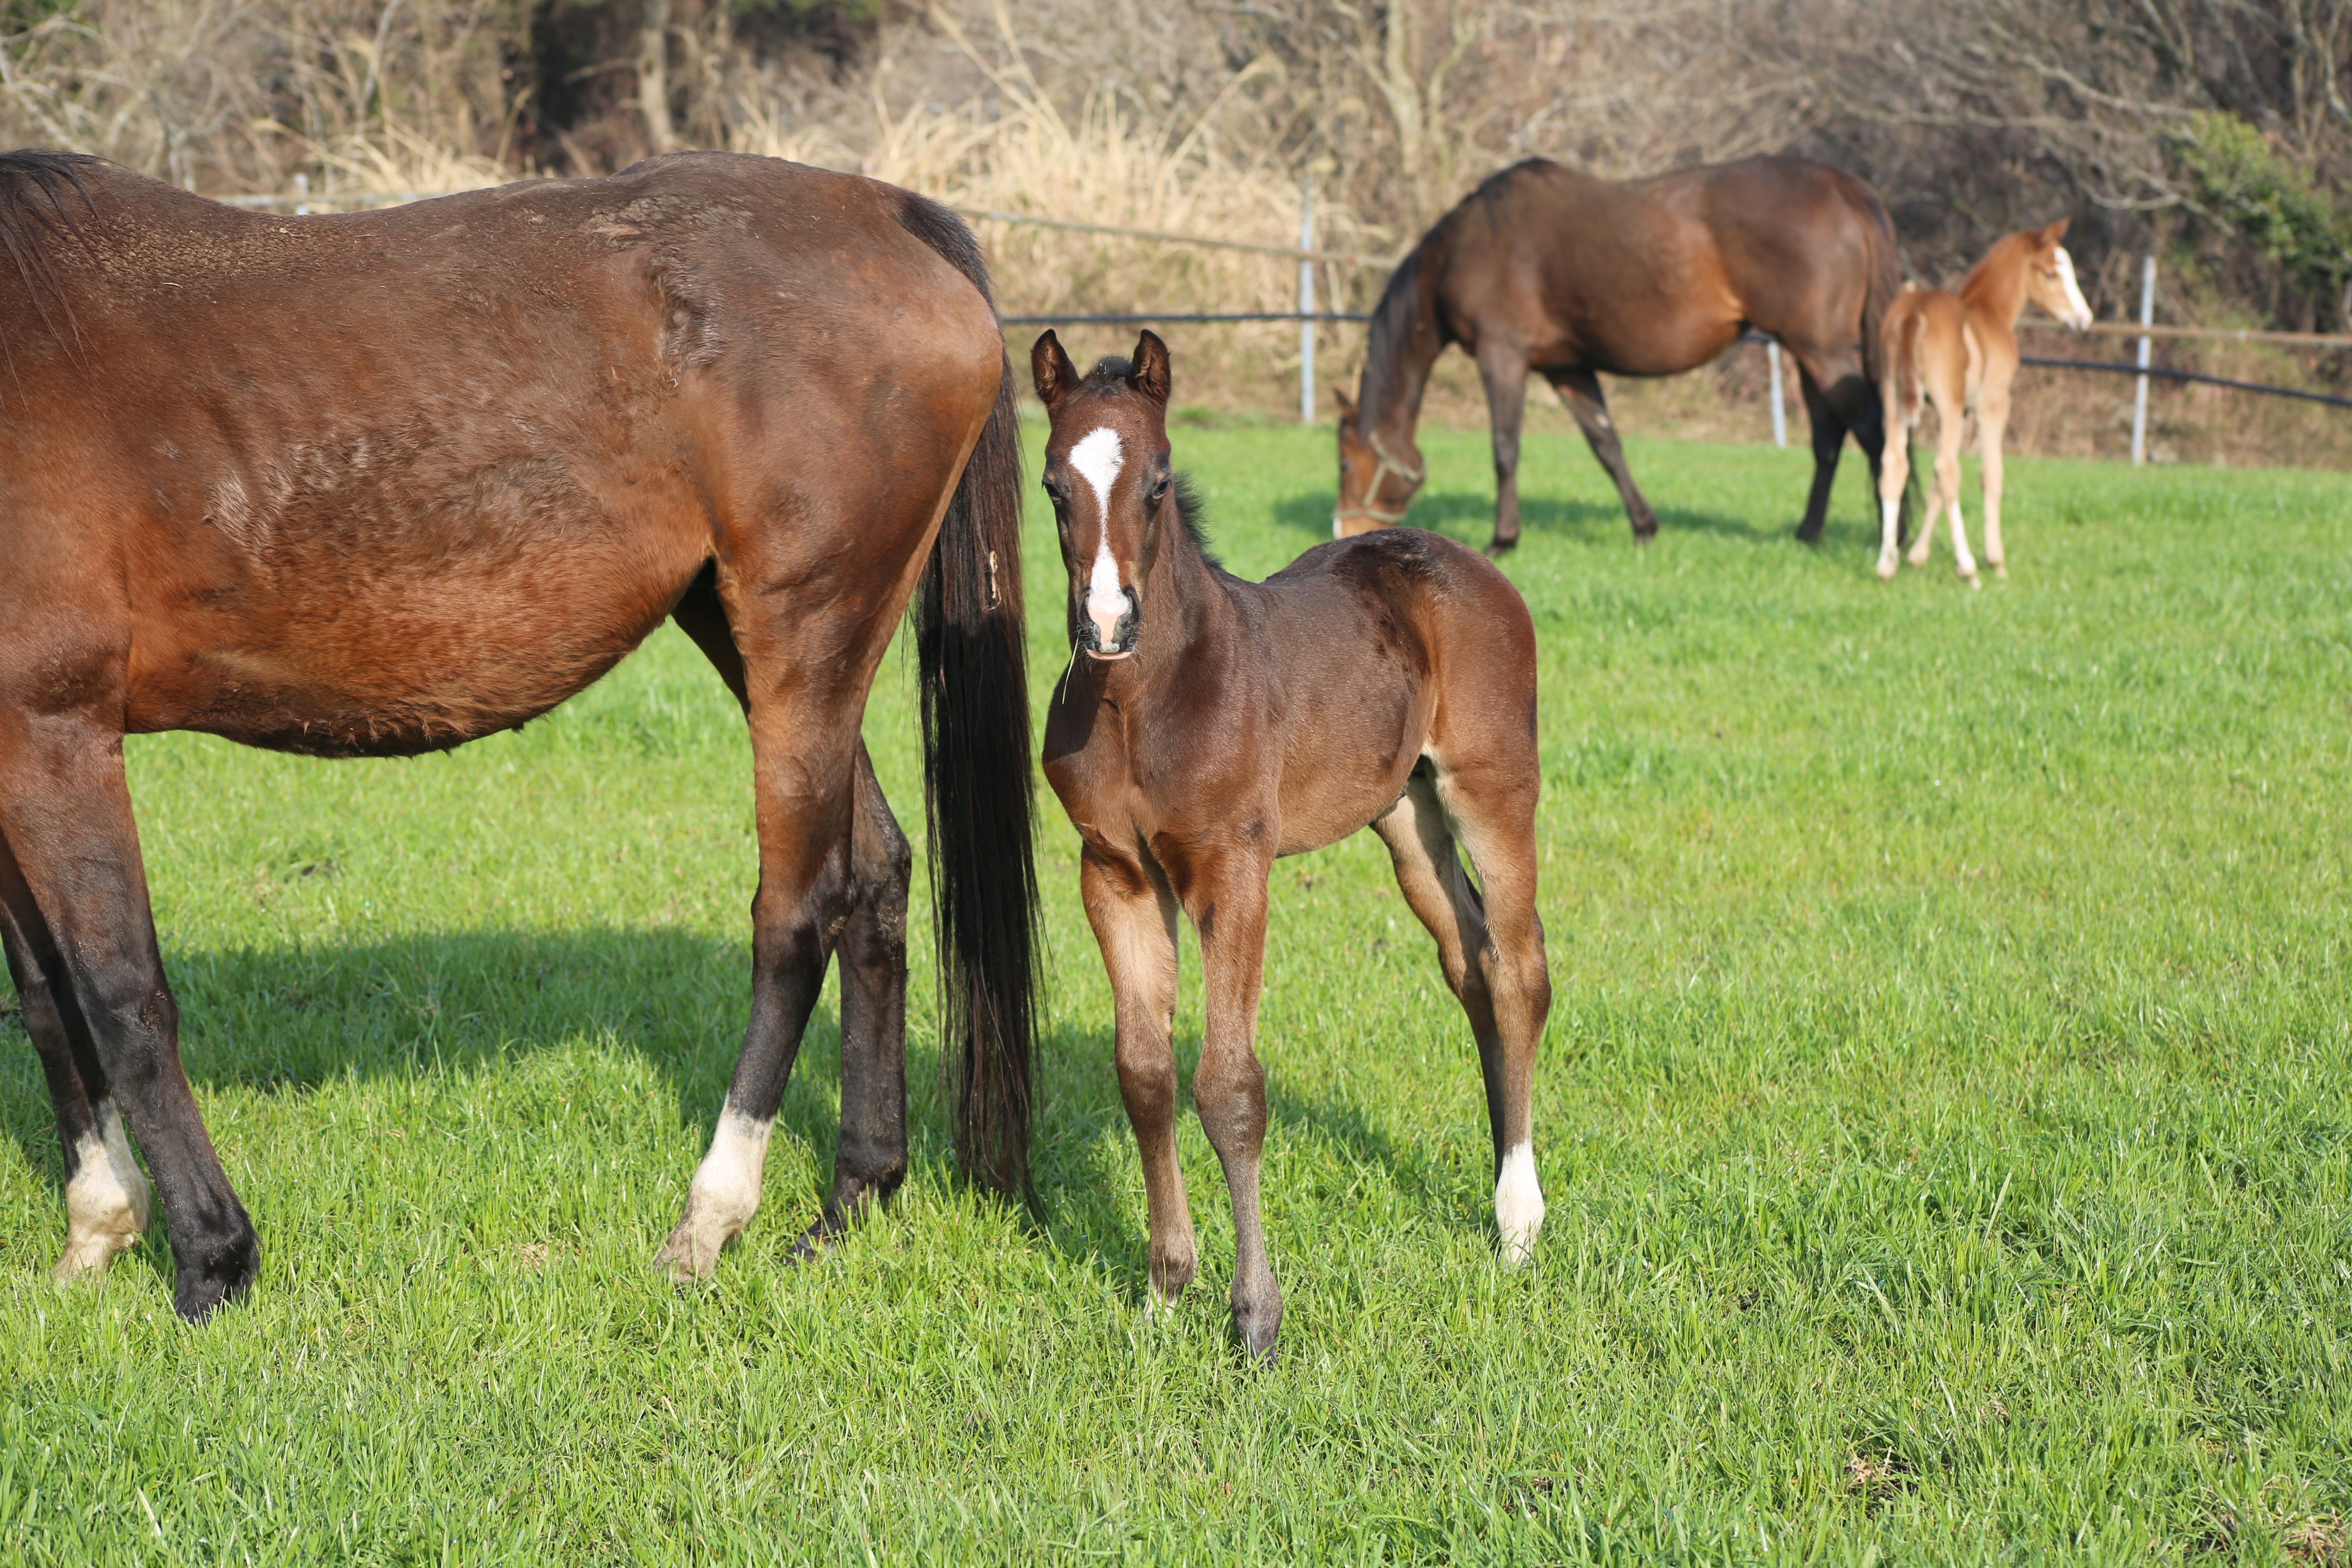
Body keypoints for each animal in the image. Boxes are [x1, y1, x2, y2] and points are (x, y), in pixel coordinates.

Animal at [0, 150, 1035, 1326]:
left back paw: (711, 1218)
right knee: (877, 875)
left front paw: (211, 1264)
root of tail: (881, 209)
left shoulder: (58, 730)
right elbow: (49, 998)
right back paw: (853, 1196)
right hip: (757, 632)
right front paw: (96, 1231)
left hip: (805, 633)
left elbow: (120, 992)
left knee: (796, 913)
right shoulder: (15, 751)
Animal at [1035, 334, 1552, 1363]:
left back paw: (1518, 1216)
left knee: (1519, 968)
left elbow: (1229, 1087)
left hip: (1491, 790)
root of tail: (1458, 560)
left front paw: (1255, 1318)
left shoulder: (1231, 870)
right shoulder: (1113, 872)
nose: (1105, 624)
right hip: (1405, 817)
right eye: (1052, 485)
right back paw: (1492, 1177)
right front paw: (1164, 1292)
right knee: (1469, 961)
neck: (1142, 700)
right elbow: (1145, 1074)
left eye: (1157, 481)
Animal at [1336, 157, 1900, 552]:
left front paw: (1503, 539)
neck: (1465, 248)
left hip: (1822, 351)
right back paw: (1808, 533)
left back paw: (1888, 541)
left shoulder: (1503, 356)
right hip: (1806, 352)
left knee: (1873, 430)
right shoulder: (1567, 367)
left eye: (1343, 462)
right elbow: (1606, 445)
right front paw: (1645, 528)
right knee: (1829, 439)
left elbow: (1504, 449)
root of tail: (1840, 184)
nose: (1344, 531)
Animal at [1872, 222, 2098, 588]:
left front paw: (1918, 556)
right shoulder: (1993, 403)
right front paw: (1996, 561)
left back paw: (1887, 563)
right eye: (2052, 274)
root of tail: (1914, 313)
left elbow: (1933, 487)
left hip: (1894, 400)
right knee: (1947, 468)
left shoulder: (1962, 410)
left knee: (1894, 464)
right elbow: (1991, 474)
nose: (2083, 319)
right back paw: (1968, 567)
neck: (1991, 313)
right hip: (1947, 405)